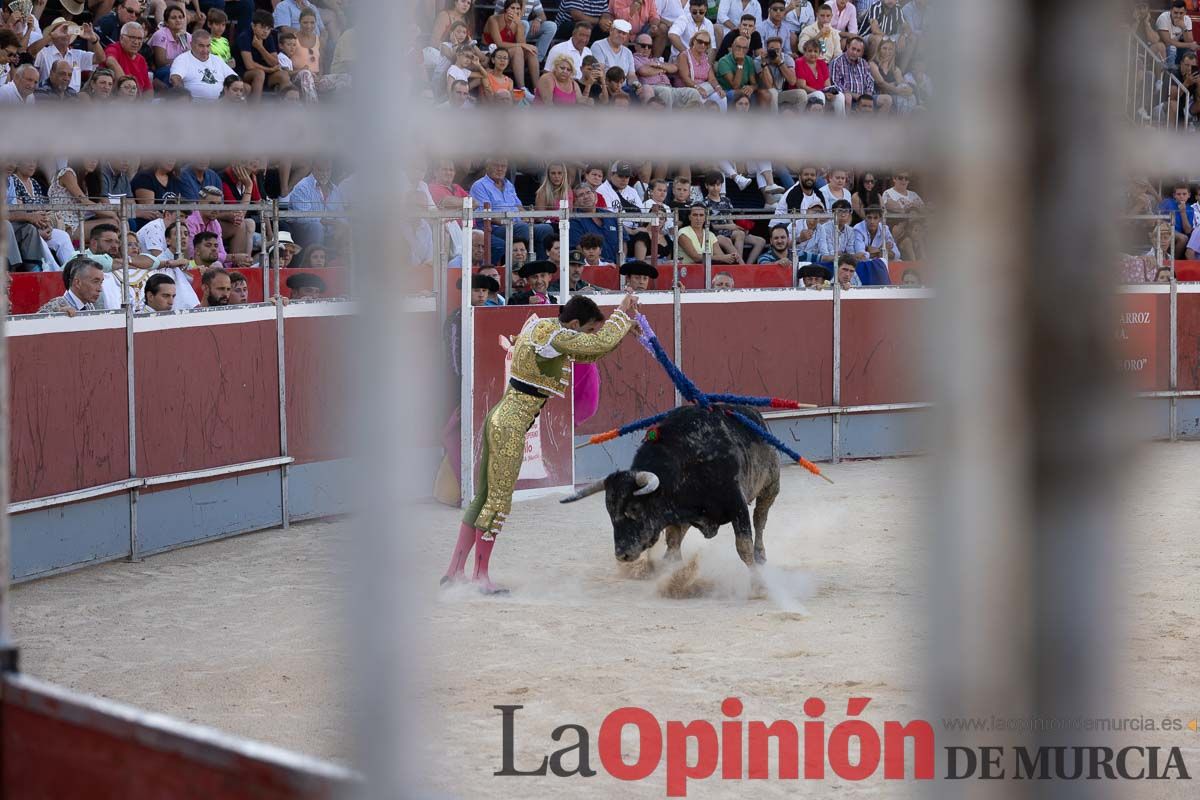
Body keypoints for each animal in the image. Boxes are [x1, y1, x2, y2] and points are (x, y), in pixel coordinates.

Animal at [559, 407, 782, 568]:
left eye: (634, 509)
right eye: (609, 512)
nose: (622, 554)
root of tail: (756, 417)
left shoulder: (737, 506)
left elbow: (744, 547)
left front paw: (757, 585)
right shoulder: (677, 514)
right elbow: (673, 545)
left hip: (771, 486)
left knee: (760, 519)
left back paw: (761, 555)